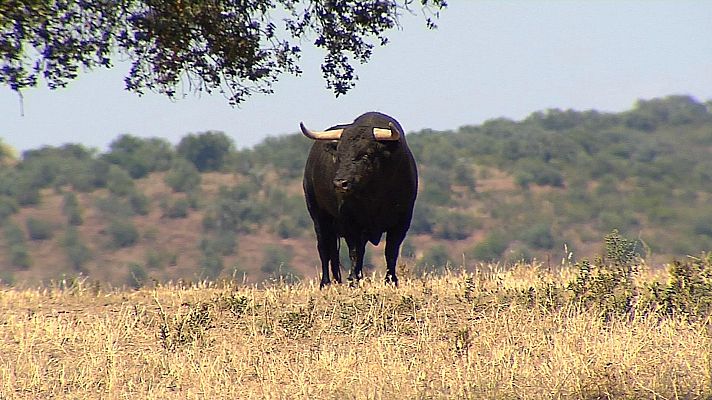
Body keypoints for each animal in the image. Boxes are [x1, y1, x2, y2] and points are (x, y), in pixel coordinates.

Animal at [300, 111, 418, 288]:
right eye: (339, 155)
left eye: (366, 154)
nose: (340, 183)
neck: (375, 195)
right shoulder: (351, 222)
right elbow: (355, 251)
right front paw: (354, 280)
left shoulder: (402, 221)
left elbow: (391, 251)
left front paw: (391, 280)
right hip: (318, 215)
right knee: (324, 248)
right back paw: (326, 283)